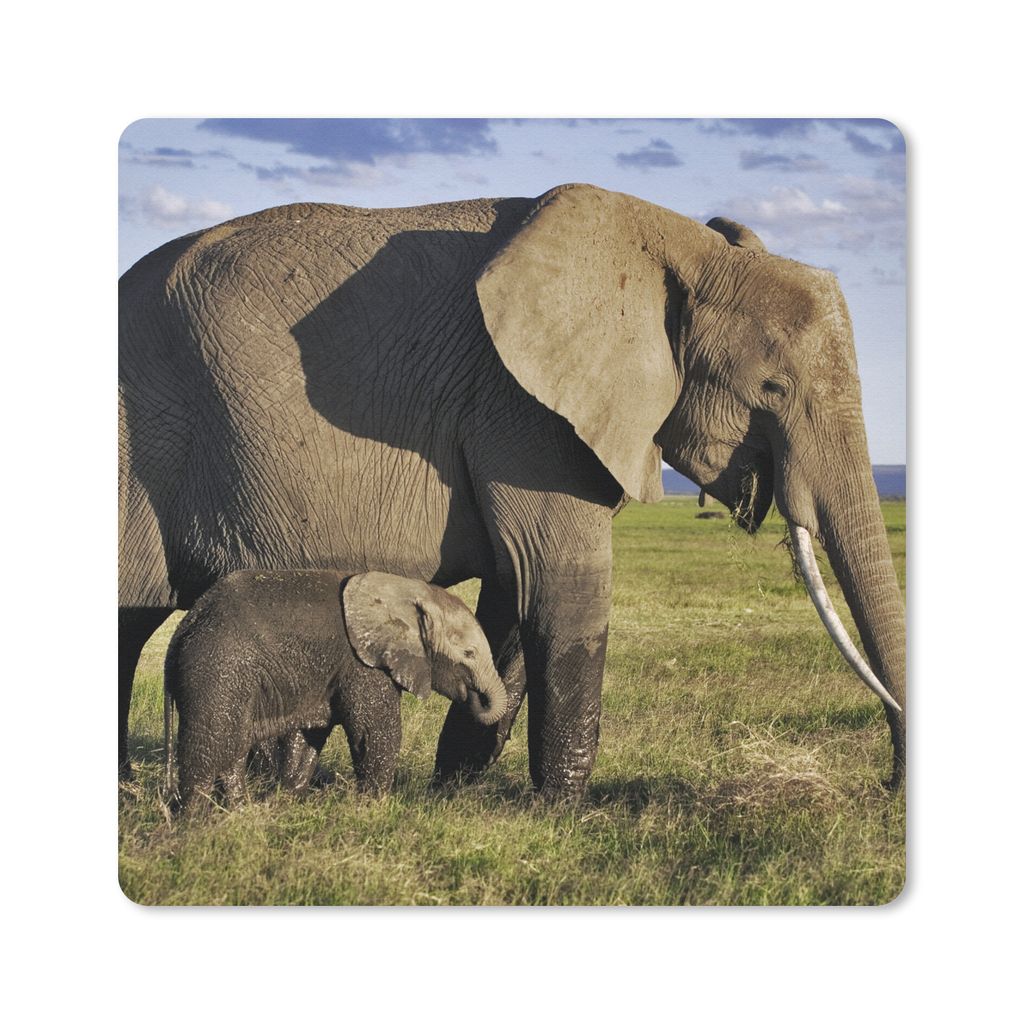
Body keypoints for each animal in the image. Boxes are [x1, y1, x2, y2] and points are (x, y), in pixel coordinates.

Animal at [163, 569, 507, 812]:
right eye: (469, 654)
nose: (474, 698)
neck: (409, 591)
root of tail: (184, 628)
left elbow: (308, 737)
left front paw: (286, 800)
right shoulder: (362, 664)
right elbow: (375, 732)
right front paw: (375, 808)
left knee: (233, 747)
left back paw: (239, 812)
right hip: (216, 670)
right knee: (210, 747)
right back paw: (195, 822)